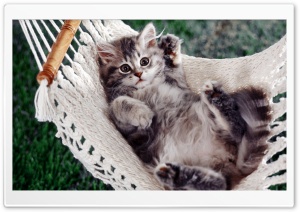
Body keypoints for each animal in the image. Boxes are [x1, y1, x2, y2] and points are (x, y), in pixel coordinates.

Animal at [97, 23, 270, 190]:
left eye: (144, 61)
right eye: (125, 68)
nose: (139, 74)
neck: (144, 88)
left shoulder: (179, 85)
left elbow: (174, 70)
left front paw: (169, 50)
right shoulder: (131, 131)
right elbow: (118, 103)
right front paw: (143, 113)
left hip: (203, 111)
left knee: (238, 131)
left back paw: (216, 98)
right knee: (221, 183)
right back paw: (176, 175)